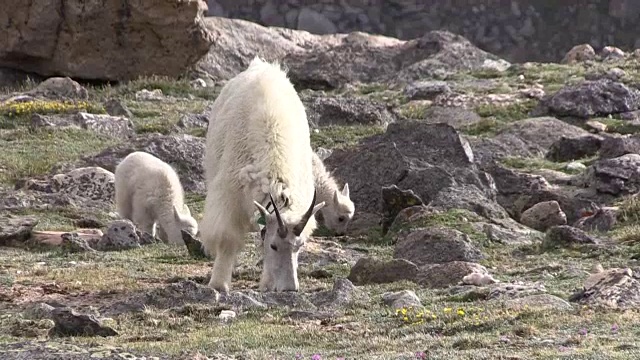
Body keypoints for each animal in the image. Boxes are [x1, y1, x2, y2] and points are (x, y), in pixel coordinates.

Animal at [200, 56, 328, 292]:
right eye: (274, 246)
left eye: (299, 246)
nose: (290, 289)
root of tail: (261, 65)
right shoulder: (228, 196)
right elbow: (226, 238)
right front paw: (219, 284)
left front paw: (267, 284)